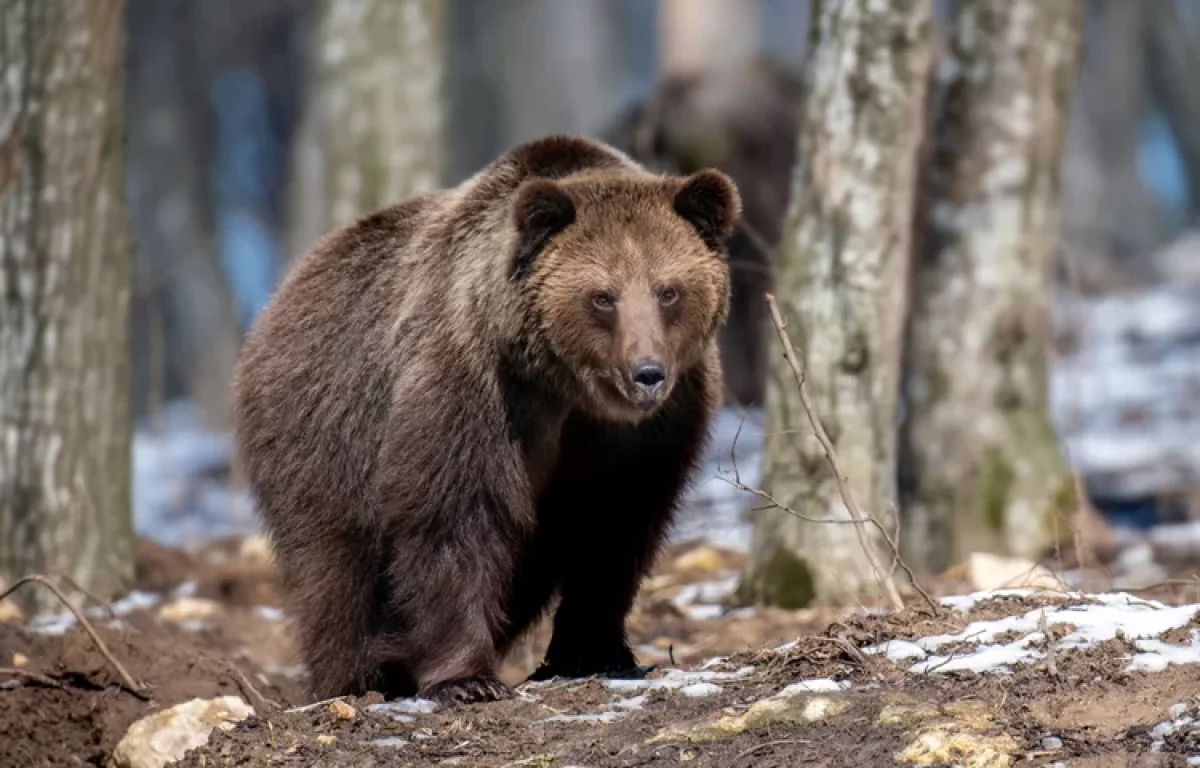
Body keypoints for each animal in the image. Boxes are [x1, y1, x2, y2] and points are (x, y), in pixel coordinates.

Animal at [231, 133, 739, 710]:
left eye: (668, 290)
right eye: (602, 296)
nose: (647, 373)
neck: (568, 390)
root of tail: (280, 295)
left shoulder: (650, 431)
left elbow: (616, 526)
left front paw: (595, 650)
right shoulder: (476, 385)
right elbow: (455, 514)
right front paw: (466, 678)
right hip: (324, 430)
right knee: (335, 569)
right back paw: (356, 676)